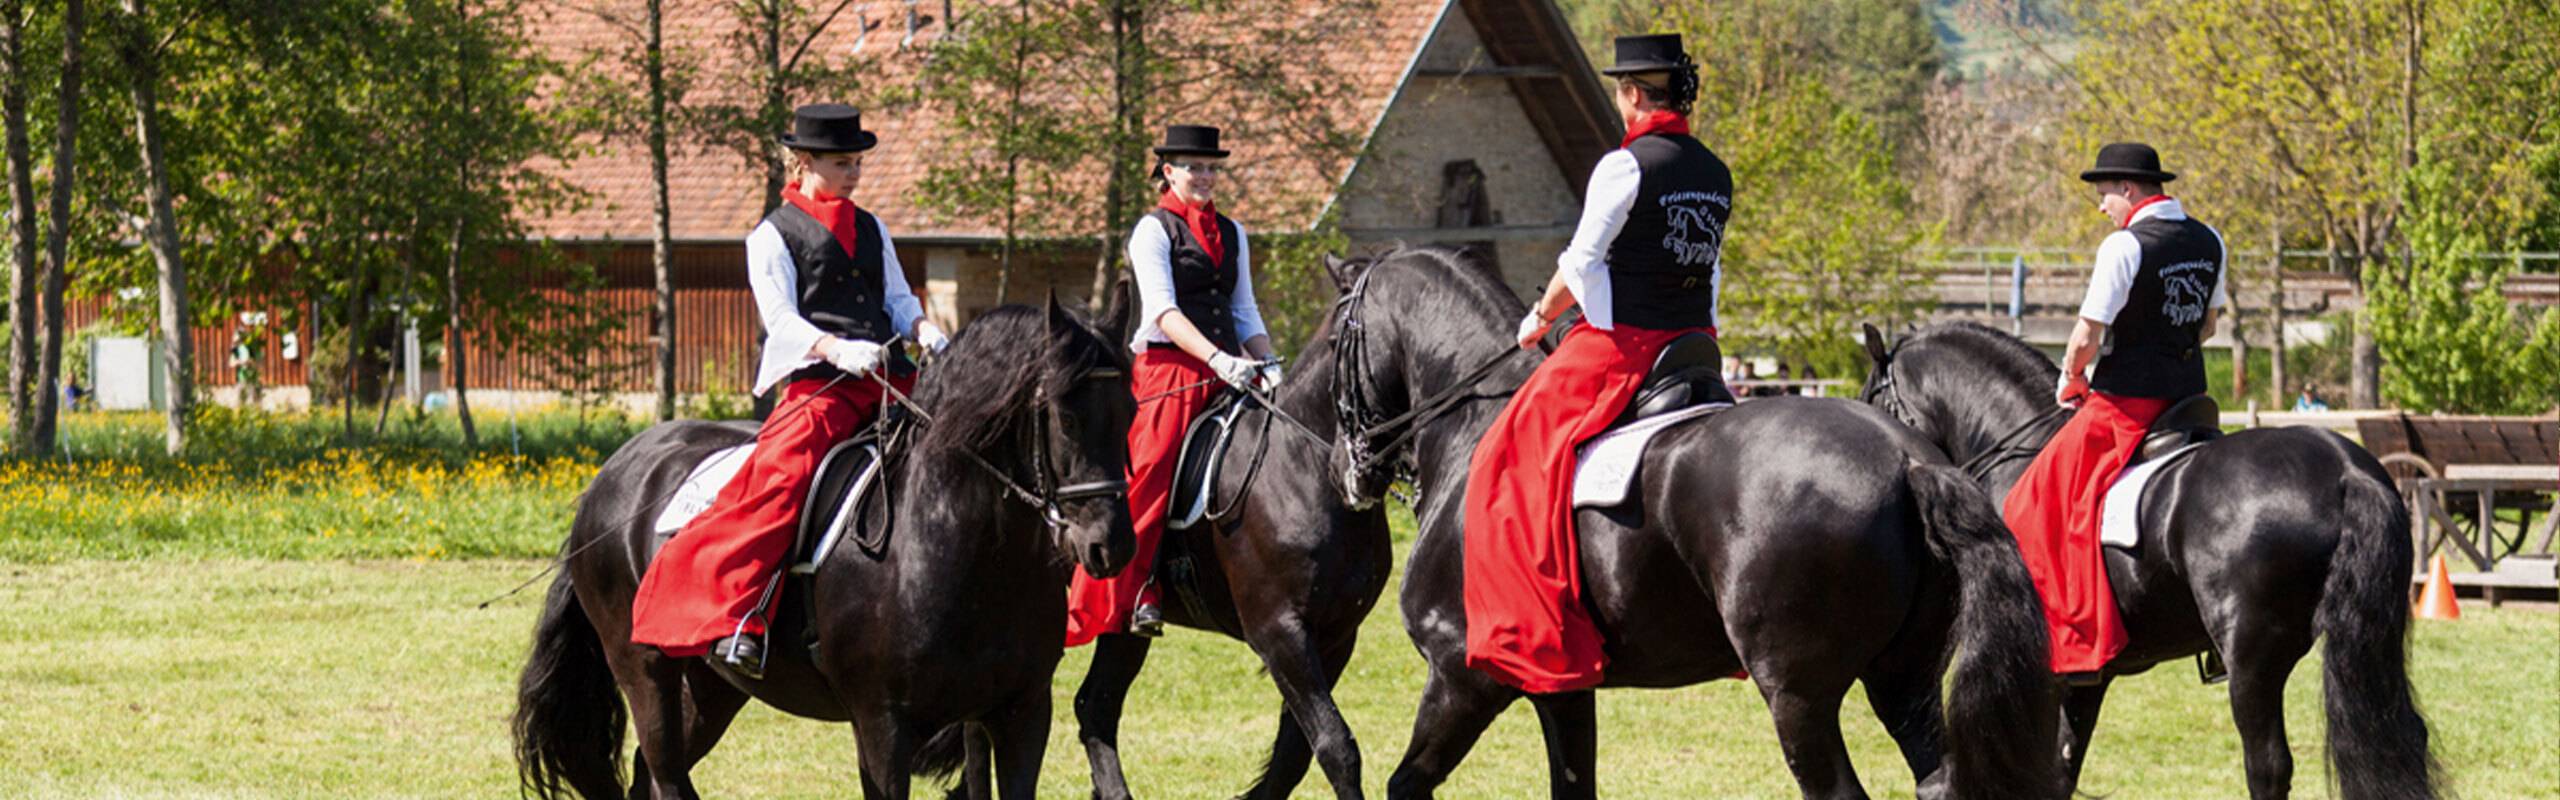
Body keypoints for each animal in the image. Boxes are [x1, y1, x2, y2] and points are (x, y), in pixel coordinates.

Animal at [514, 300, 1136, 800]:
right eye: (1066, 417)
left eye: (1130, 411)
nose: (1111, 545)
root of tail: (612, 473)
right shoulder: (883, 725)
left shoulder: (1021, 714)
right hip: (643, 669)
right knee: (664, 772)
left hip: (709, 686)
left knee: (652, 771)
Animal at [1064, 276, 1402, 800]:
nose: (1362, 476)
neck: (1303, 466)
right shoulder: (1279, 631)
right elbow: (1335, 746)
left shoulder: (1336, 635)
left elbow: (1294, 754)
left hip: (1121, 622)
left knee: (1095, 705)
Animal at [1320, 247, 2058, 794]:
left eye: (1332, 341)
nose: (1343, 468)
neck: (1474, 425)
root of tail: (1910, 462)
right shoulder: (1561, 689)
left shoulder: (1463, 677)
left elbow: (1405, 785)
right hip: (1903, 679)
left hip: (1800, 697)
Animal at [1863, 323, 2437, 800]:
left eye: (1873, 401)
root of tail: (2345, 468)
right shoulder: (2084, 678)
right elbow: (2062, 767)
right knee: (2402, 735)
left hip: (2253, 657)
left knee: (2268, 765)